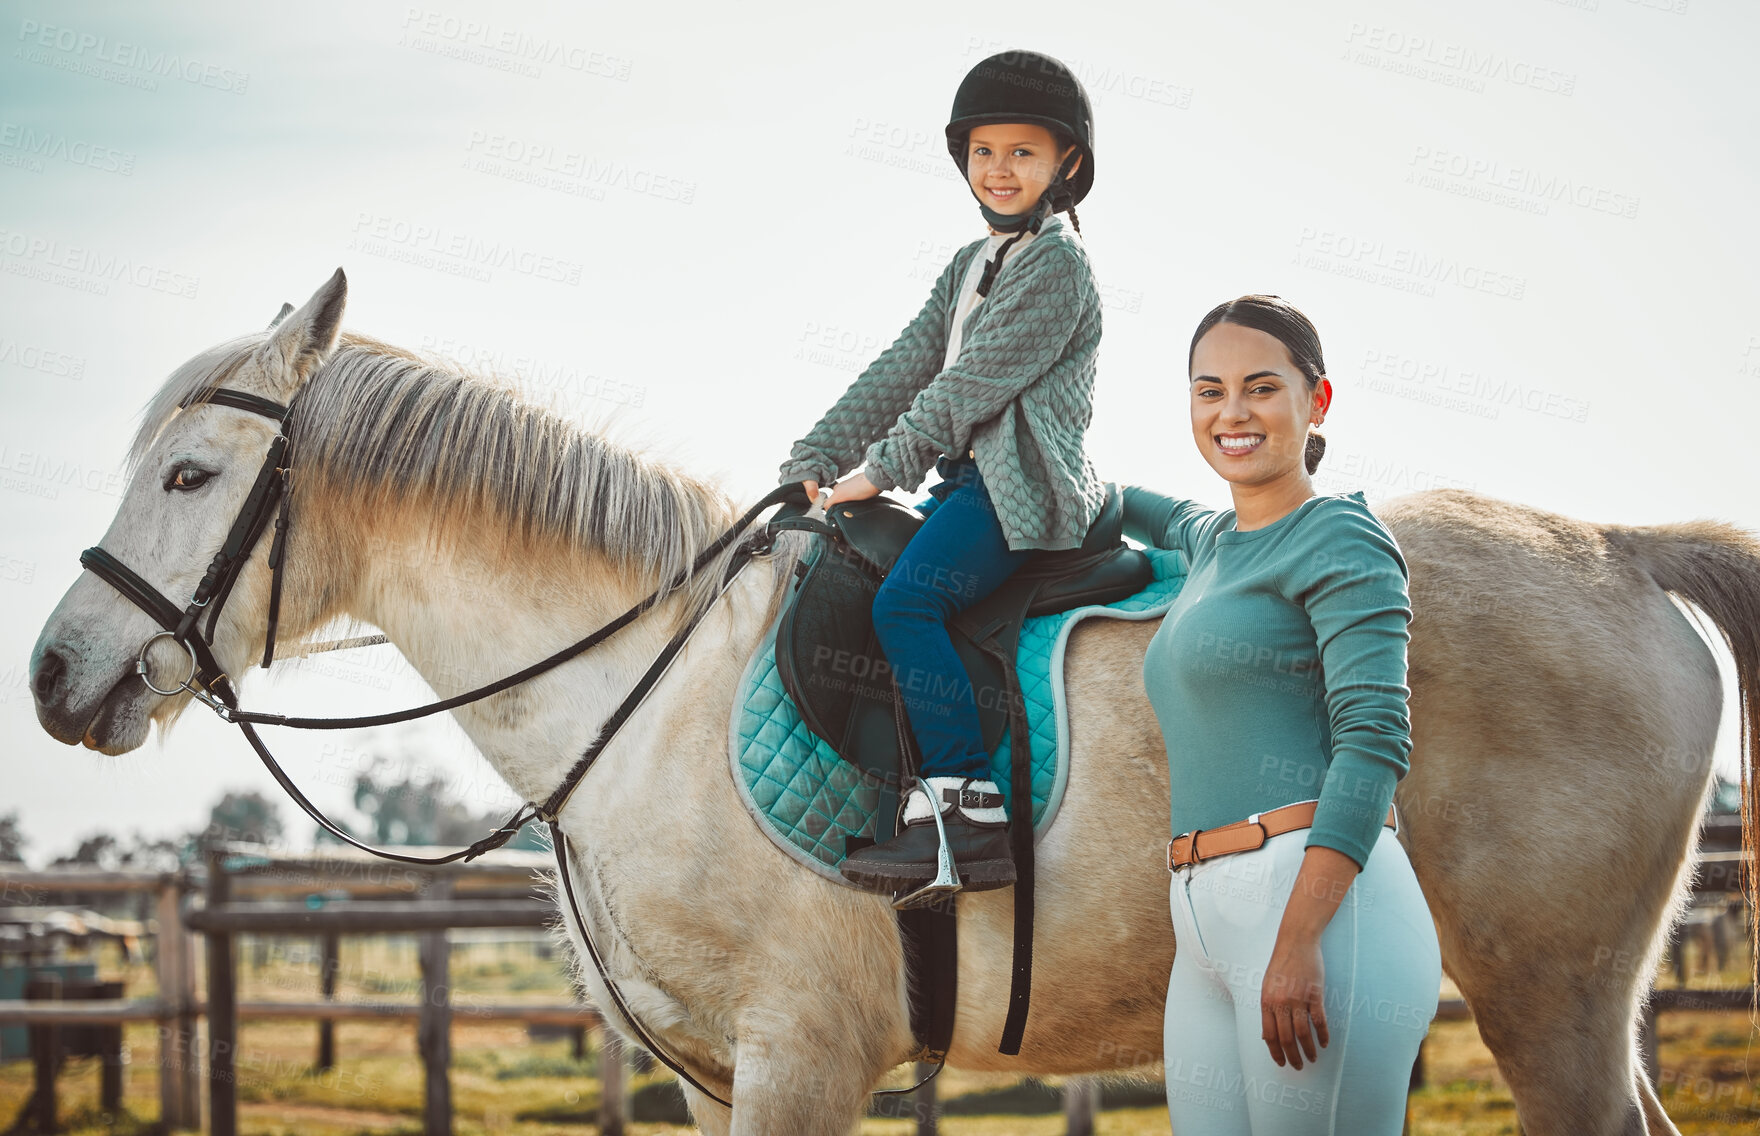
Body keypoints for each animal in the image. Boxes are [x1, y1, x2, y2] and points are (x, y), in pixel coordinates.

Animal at [27, 269, 1760, 1127]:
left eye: (189, 476)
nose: (52, 673)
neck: (644, 700)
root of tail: (1613, 551)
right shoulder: (724, 1083)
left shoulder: (799, 1063)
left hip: (1550, 1003)